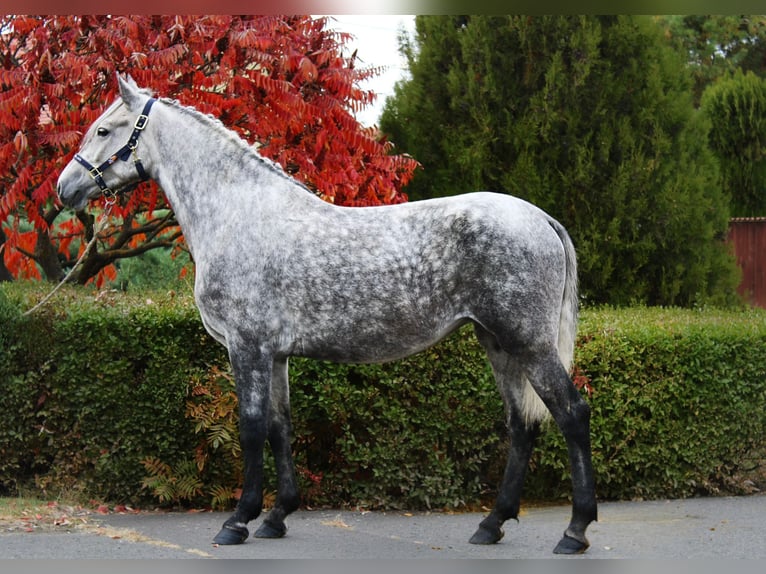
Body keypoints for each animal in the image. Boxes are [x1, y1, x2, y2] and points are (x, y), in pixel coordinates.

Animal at [57, 75, 597, 554]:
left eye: (104, 130)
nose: (66, 188)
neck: (238, 213)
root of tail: (540, 218)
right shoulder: (275, 355)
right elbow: (280, 428)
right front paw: (276, 517)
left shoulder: (247, 347)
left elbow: (251, 428)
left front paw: (238, 521)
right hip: (498, 343)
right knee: (521, 425)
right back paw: (491, 525)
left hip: (528, 343)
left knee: (571, 413)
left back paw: (574, 531)